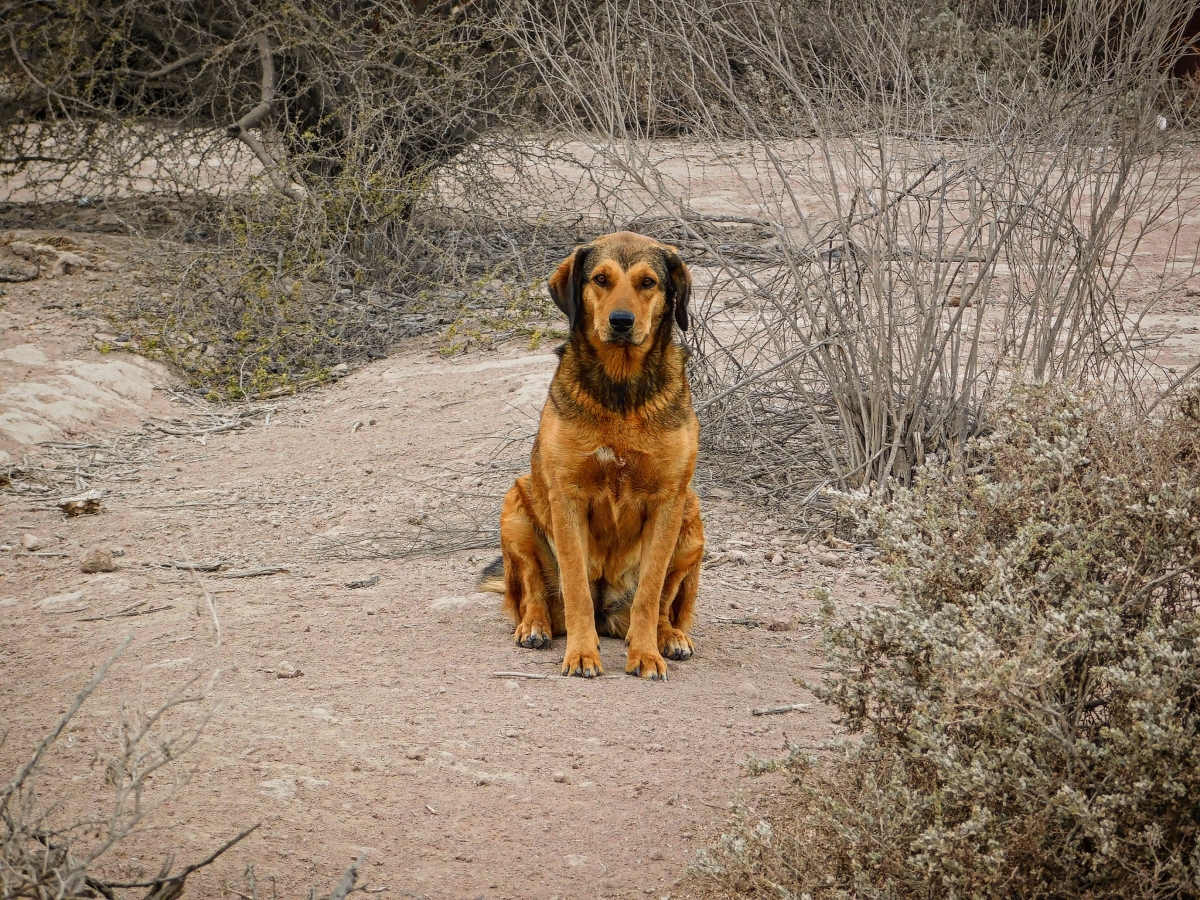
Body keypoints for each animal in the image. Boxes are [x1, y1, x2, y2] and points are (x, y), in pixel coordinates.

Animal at [475, 229, 700, 681]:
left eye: (648, 282)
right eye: (600, 279)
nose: (621, 321)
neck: (621, 388)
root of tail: (606, 610)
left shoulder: (668, 499)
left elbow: (651, 592)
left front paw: (646, 654)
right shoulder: (568, 497)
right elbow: (576, 585)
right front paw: (580, 654)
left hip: (692, 520)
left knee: (665, 604)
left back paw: (668, 637)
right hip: (516, 505)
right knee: (532, 593)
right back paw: (535, 627)